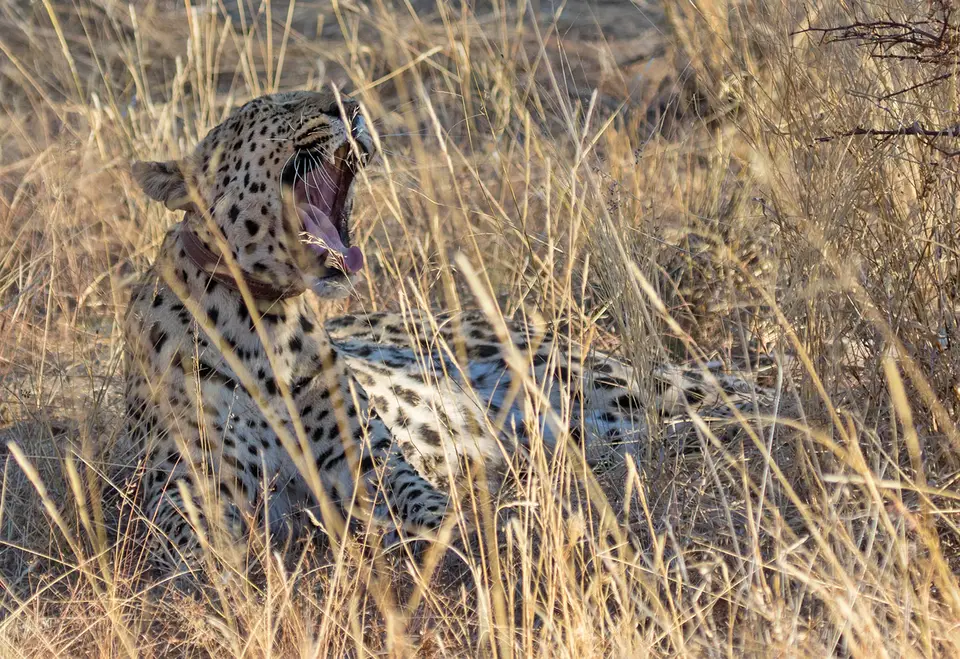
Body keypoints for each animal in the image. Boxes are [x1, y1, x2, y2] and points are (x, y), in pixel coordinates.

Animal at [124, 89, 773, 579]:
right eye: (275, 107)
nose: (347, 103)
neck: (268, 330)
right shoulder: (182, 496)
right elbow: (199, 554)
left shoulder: (370, 465)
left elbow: (429, 505)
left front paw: (486, 532)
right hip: (595, 427)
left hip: (595, 382)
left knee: (746, 392)